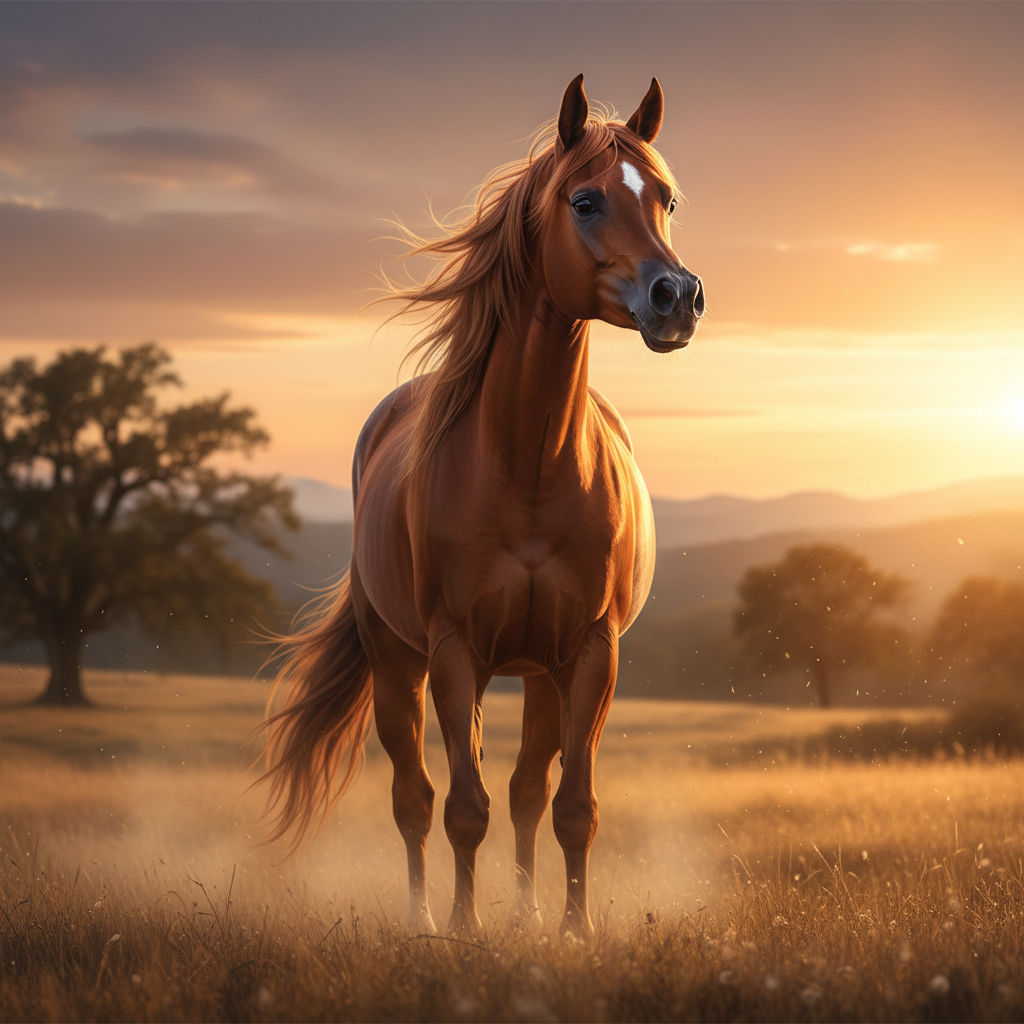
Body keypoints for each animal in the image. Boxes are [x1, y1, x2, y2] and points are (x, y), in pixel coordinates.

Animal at [259, 74, 704, 938]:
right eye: (586, 200)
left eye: (668, 199)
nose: (678, 296)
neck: (529, 467)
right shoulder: (454, 650)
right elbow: (462, 806)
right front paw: (464, 932)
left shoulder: (591, 652)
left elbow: (570, 806)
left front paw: (572, 931)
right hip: (400, 667)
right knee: (415, 797)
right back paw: (427, 920)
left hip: (539, 675)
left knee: (529, 791)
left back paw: (528, 916)